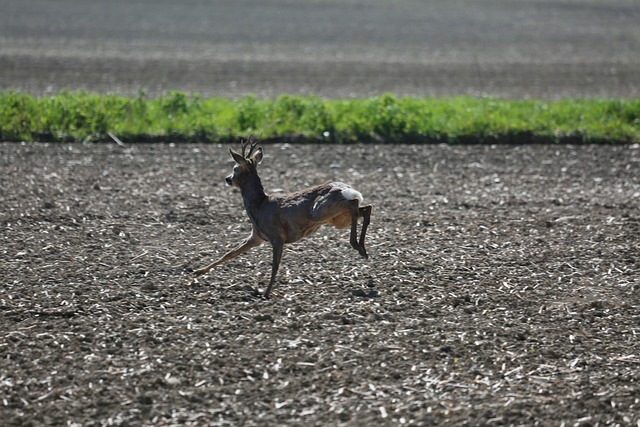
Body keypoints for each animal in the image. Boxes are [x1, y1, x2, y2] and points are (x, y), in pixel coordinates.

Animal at [194, 139, 370, 300]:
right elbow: (230, 253)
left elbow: (275, 265)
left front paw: (265, 293)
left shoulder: (276, 236)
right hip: (338, 219)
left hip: (321, 211)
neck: (259, 206)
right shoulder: (257, 236)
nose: (227, 179)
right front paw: (198, 272)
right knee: (364, 208)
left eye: (235, 168)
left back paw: (357, 245)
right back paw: (362, 248)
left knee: (355, 204)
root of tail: (346, 189)